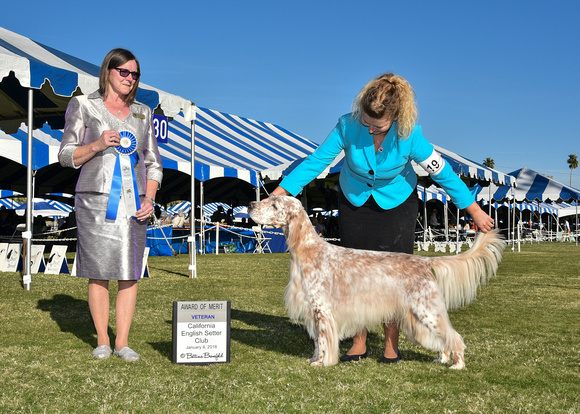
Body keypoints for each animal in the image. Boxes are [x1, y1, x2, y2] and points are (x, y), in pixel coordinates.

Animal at [247, 196, 506, 370]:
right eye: (268, 199)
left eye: (275, 205)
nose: (249, 205)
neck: (308, 250)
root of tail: (423, 260)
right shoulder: (313, 309)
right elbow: (317, 342)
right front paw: (313, 358)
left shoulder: (321, 308)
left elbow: (322, 341)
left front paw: (319, 363)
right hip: (420, 314)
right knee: (444, 338)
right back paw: (441, 358)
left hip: (427, 309)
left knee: (454, 337)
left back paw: (457, 364)